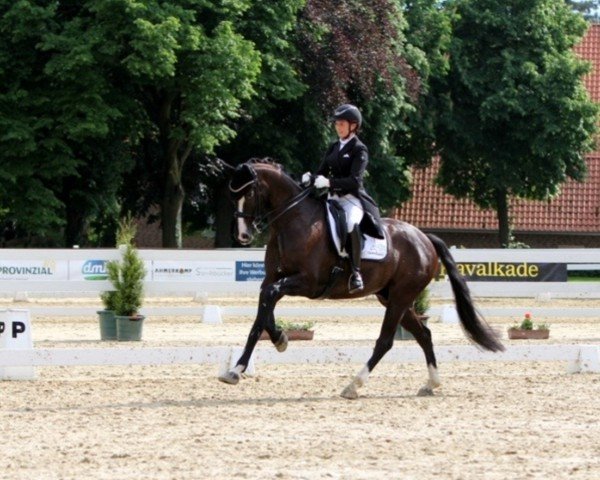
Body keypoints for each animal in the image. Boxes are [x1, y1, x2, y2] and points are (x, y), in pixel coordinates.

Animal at [218, 158, 504, 398]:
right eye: (233, 196)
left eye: (249, 193)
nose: (243, 236)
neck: (292, 222)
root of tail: (424, 238)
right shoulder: (271, 279)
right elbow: (262, 313)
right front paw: (273, 343)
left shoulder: (307, 283)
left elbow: (266, 305)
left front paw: (245, 364)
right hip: (393, 298)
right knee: (424, 334)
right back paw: (431, 384)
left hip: (400, 297)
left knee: (386, 341)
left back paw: (353, 386)